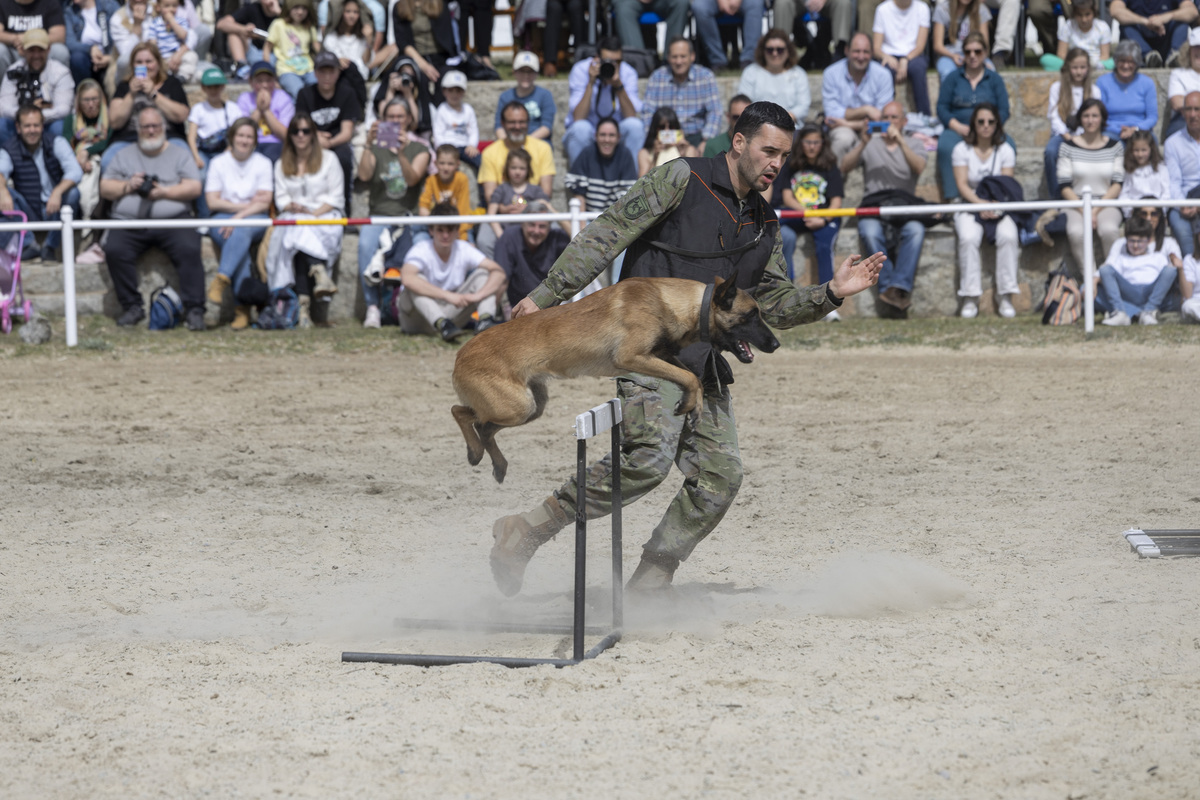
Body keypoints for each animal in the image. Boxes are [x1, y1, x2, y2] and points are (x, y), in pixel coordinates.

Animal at [451, 277, 777, 482]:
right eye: (751, 315)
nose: (775, 344)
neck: (670, 301)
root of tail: (459, 355)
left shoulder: (660, 356)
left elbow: (690, 375)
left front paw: (692, 400)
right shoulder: (631, 357)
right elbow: (688, 377)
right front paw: (689, 404)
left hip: (533, 407)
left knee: (482, 426)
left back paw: (494, 463)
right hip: (517, 407)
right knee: (464, 414)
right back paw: (476, 452)